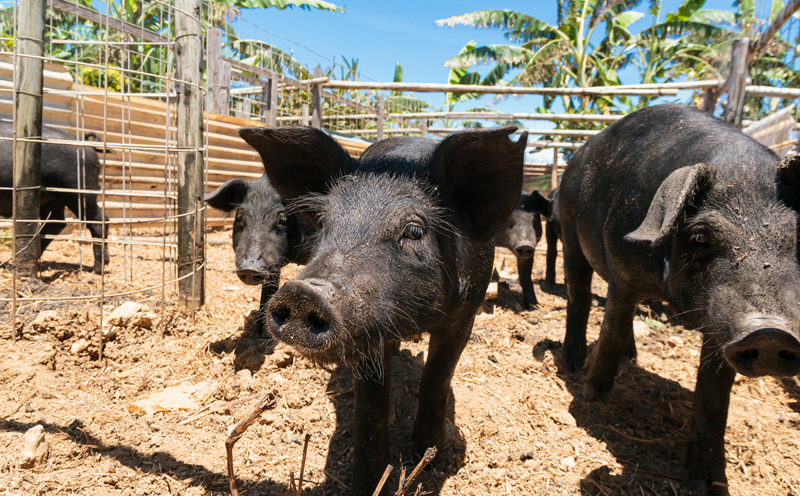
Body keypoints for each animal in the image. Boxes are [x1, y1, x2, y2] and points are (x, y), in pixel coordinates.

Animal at [0, 123, 109, 272]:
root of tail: (87, 144)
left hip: (76, 188)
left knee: (99, 219)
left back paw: (98, 268)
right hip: (52, 198)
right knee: (57, 223)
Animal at [203, 175, 316, 338]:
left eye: (283, 219)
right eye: (240, 216)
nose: (250, 269)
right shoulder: (273, 265)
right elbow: (268, 291)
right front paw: (261, 334)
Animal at [238, 125, 524, 492]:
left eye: (414, 231)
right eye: (324, 223)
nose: (302, 293)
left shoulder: (466, 313)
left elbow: (437, 378)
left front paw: (425, 459)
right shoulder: (369, 333)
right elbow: (372, 402)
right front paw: (369, 482)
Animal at [556, 103, 800, 492]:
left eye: (798, 235)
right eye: (700, 235)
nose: (770, 333)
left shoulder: (721, 324)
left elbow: (714, 397)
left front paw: (707, 483)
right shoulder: (622, 268)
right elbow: (612, 327)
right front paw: (592, 397)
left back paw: (631, 359)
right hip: (567, 223)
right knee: (579, 295)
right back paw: (575, 363)